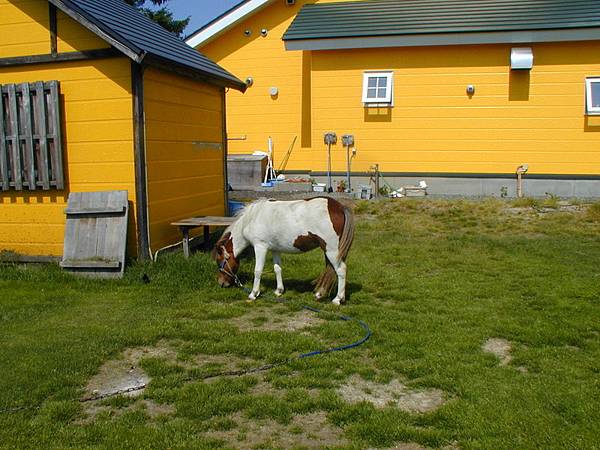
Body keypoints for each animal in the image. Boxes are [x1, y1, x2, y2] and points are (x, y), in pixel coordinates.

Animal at [213, 198, 354, 306]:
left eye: (220, 261)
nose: (221, 283)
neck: (252, 218)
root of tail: (340, 207)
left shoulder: (260, 247)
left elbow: (257, 271)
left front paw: (253, 294)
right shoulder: (275, 249)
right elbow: (277, 269)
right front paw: (279, 291)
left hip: (331, 250)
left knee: (341, 270)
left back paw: (338, 299)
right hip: (328, 251)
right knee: (330, 269)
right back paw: (321, 294)